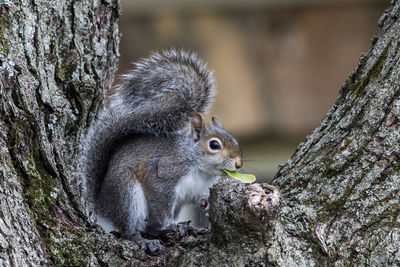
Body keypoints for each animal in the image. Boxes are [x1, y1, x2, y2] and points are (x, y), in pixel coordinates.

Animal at [83, 49, 242, 253]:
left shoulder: (198, 189)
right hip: (127, 195)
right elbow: (161, 203)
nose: (239, 163)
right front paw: (171, 224)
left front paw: (206, 207)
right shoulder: (163, 175)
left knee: (149, 227)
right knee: (128, 231)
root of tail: (102, 207)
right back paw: (144, 240)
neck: (199, 167)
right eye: (214, 145)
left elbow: (200, 198)